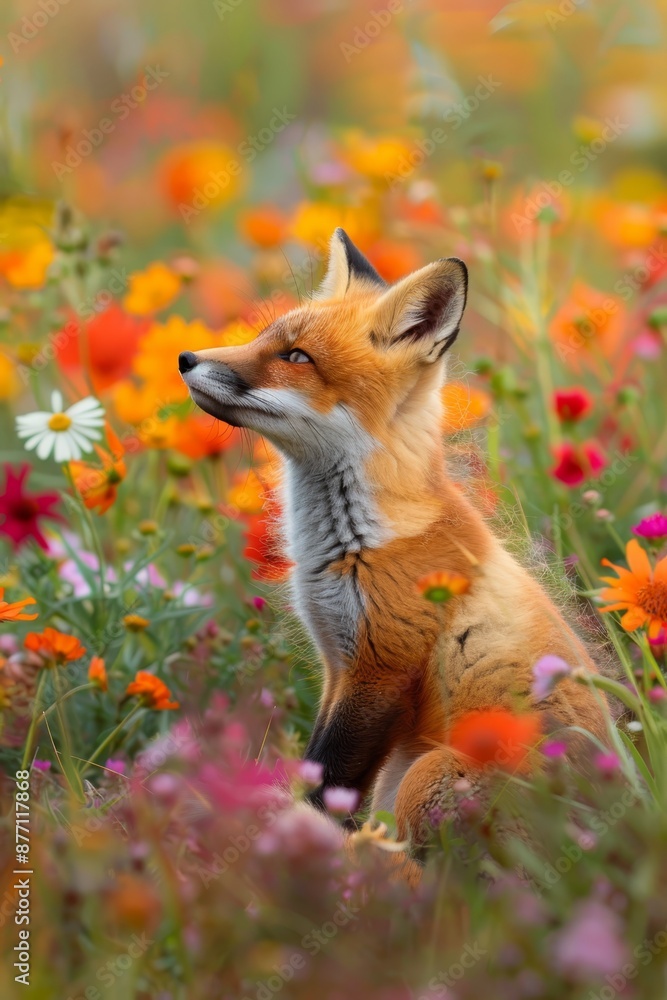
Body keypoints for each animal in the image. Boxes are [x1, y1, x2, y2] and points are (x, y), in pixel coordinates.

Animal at [179, 227, 608, 851]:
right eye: (263, 338)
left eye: (296, 358)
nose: (184, 358)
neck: (349, 545)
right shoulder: (337, 662)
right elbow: (317, 767)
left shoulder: (381, 670)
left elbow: (327, 784)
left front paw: (297, 843)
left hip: (426, 772)